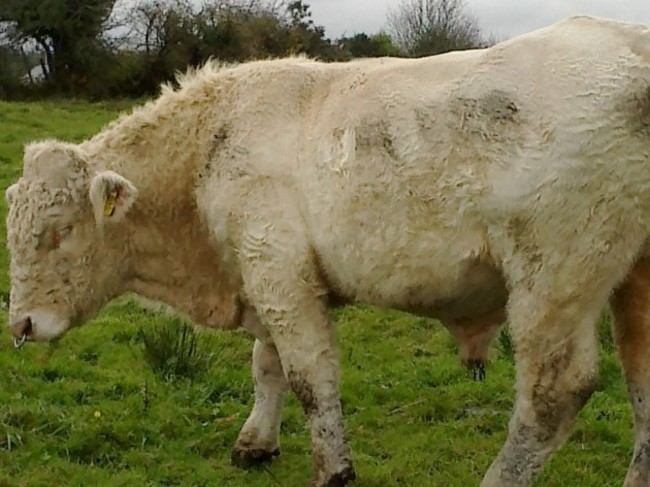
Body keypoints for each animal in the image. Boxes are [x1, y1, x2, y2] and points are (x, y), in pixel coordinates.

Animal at [5, 15, 648, 487]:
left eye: (59, 231)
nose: (22, 325)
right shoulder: (265, 273)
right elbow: (267, 365)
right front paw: (255, 442)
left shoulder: (279, 273)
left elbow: (308, 375)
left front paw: (332, 469)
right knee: (641, 383)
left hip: (555, 278)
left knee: (552, 394)